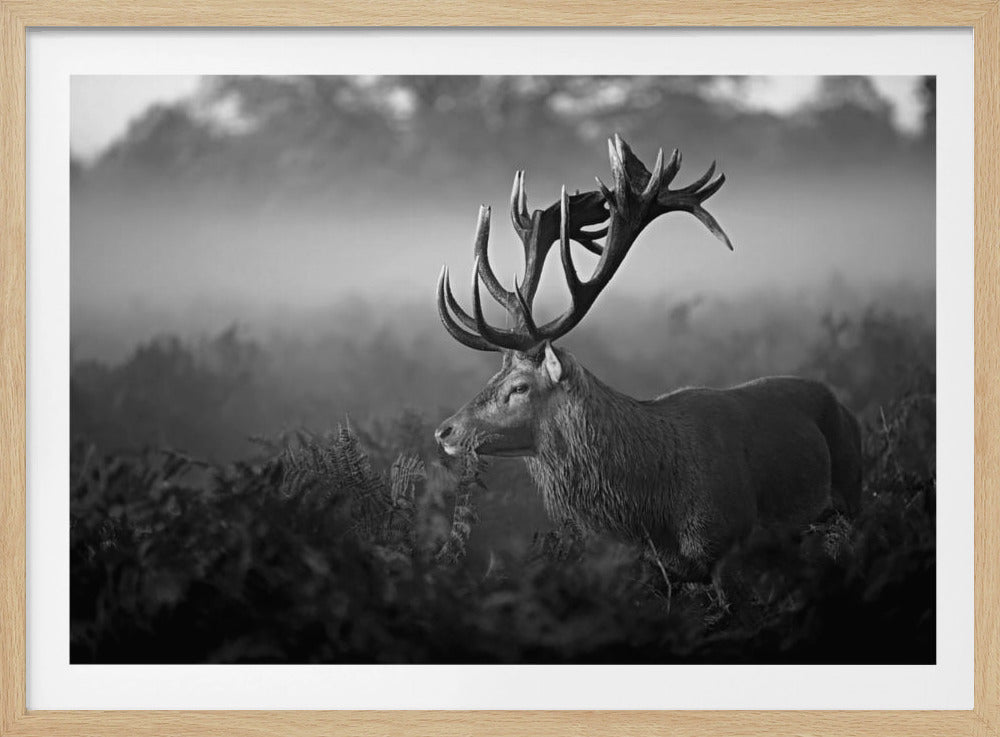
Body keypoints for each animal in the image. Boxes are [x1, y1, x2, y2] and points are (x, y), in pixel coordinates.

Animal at [433, 135, 862, 581]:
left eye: (519, 387)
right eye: (491, 379)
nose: (444, 432)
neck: (658, 512)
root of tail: (846, 409)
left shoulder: (726, 543)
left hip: (852, 493)